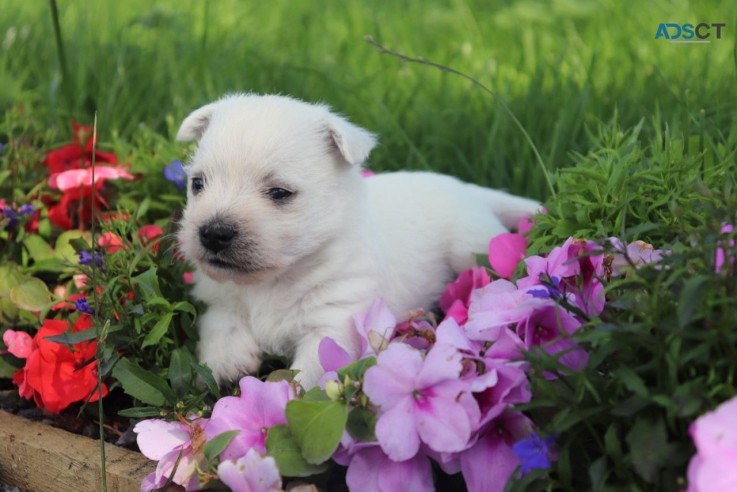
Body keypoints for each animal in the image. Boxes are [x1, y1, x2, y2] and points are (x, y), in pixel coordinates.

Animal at [175, 94, 536, 388]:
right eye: (197, 184)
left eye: (279, 192)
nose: (212, 233)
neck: (272, 281)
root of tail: (469, 190)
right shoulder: (220, 299)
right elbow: (221, 325)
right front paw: (225, 365)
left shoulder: (335, 320)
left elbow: (311, 376)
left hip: (469, 247)